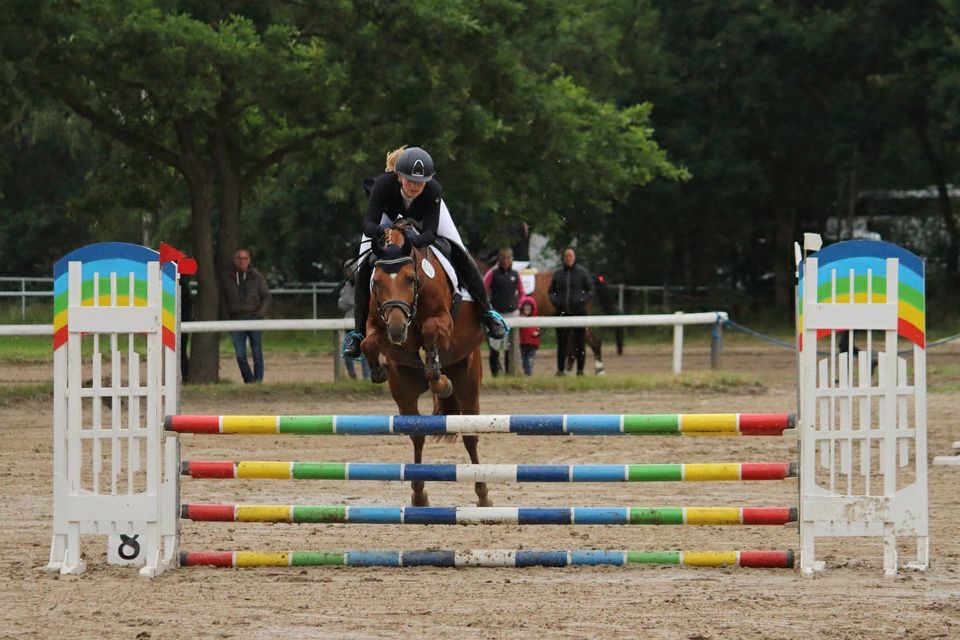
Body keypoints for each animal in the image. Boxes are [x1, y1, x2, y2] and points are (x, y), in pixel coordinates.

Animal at [362, 222, 496, 508]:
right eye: (375, 282)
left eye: (410, 279)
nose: (397, 329)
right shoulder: (378, 325)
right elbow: (369, 342)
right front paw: (377, 370)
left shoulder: (442, 322)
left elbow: (431, 331)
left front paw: (441, 382)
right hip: (404, 389)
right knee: (417, 434)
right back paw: (419, 495)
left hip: (468, 380)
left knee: (470, 436)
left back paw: (483, 496)